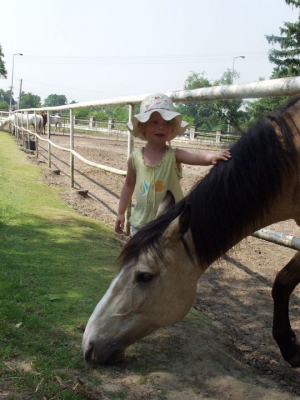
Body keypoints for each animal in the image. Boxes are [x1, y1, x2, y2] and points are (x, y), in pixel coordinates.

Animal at [82, 94, 300, 368]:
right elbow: (282, 282)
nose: (88, 344)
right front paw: (290, 347)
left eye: (144, 276)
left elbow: (282, 282)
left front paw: (290, 347)